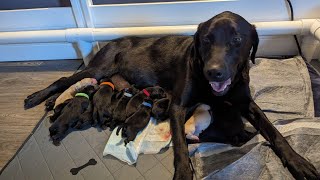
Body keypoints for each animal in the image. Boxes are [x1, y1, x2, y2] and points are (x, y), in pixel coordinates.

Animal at [23, 11, 318, 180]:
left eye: (237, 40)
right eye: (206, 40)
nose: (214, 72)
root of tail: (112, 41)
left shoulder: (247, 103)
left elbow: (275, 132)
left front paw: (298, 162)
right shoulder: (177, 106)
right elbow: (179, 145)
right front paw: (184, 173)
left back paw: (52, 102)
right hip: (100, 67)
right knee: (66, 79)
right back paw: (39, 97)